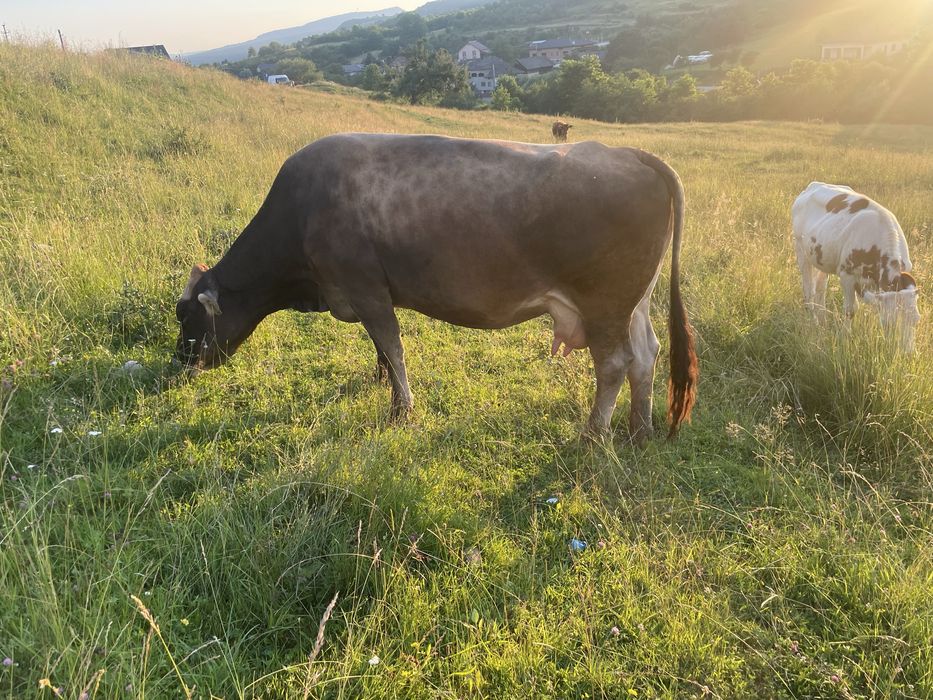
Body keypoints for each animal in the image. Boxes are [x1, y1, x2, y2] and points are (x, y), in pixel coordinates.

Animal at [174, 133, 697, 440]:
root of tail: (623, 151)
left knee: (613, 363)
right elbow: (381, 351)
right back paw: (639, 428)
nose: (179, 363)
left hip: (603, 302)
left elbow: (394, 349)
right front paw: (381, 385)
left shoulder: (366, 289)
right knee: (646, 354)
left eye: (187, 316)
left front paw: (401, 411)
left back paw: (593, 434)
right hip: (633, 303)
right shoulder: (370, 294)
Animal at [791, 182, 919, 352]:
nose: (907, 353)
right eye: (889, 324)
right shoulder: (847, 276)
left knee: (820, 288)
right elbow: (850, 310)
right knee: (808, 290)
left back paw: (823, 319)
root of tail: (814, 184)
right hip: (801, 250)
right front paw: (844, 338)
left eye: (916, 320)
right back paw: (813, 321)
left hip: (822, 258)